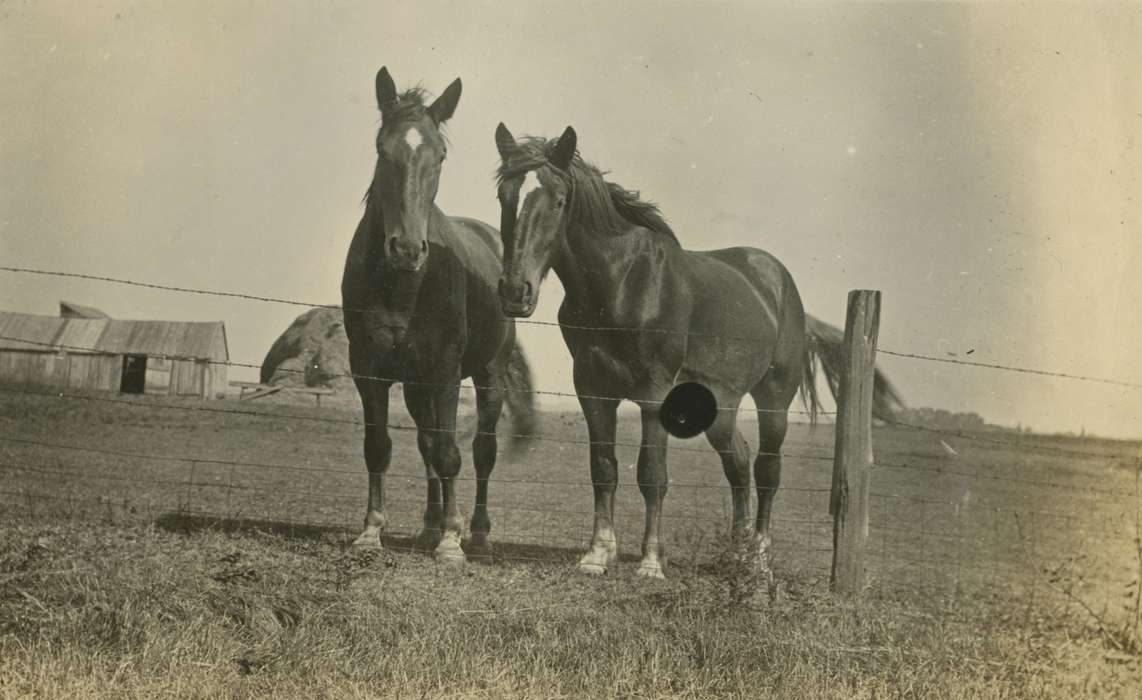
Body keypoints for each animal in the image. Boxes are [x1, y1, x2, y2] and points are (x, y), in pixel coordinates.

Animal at [338, 68, 534, 561]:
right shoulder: (369, 369)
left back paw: (475, 533)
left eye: (440, 156)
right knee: (426, 443)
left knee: (481, 451)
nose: (407, 249)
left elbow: (451, 453)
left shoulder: (445, 371)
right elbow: (380, 447)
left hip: (488, 373)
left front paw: (451, 540)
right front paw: (372, 530)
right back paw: (429, 526)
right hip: (415, 385)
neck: (405, 286)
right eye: (381, 149)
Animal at [491, 121, 899, 577]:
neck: (622, 283)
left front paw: (652, 562)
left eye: (560, 201)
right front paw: (597, 555)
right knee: (738, 463)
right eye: (504, 196)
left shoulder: (654, 393)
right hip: (721, 406)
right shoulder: (592, 390)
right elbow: (603, 469)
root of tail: (778, 283)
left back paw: (759, 558)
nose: (514, 292)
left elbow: (652, 474)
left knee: (767, 469)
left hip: (774, 398)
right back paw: (738, 552)